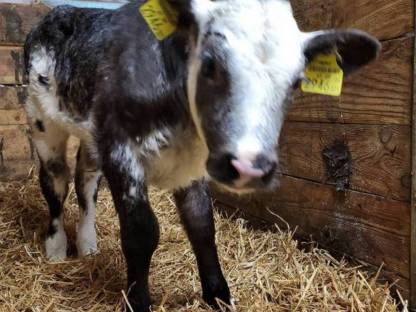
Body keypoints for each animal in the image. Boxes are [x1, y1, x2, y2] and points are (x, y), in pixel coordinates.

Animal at [22, 0, 380, 310]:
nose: (249, 168)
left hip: (89, 136)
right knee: (55, 181)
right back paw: (56, 247)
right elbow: (141, 231)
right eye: (209, 65)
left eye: (296, 82)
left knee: (85, 181)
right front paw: (137, 301)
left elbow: (202, 225)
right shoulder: (119, 148)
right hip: (41, 122)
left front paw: (219, 296)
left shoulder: (191, 166)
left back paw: (87, 245)